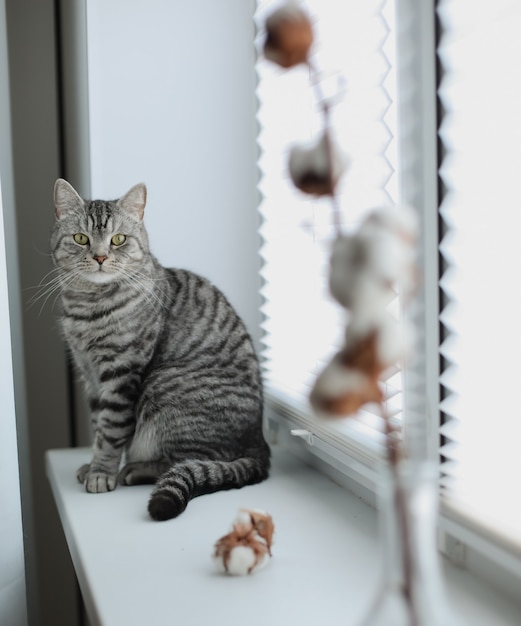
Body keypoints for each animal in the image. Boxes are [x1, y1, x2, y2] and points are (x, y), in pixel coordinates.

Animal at [50, 178, 270, 520]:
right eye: (81, 238)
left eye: (118, 240)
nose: (100, 257)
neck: (88, 308)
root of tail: (259, 441)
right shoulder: (90, 374)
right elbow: (98, 424)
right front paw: (92, 464)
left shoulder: (121, 371)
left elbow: (110, 431)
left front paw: (101, 472)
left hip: (163, 388)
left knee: (192, 460)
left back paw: (135, 470)